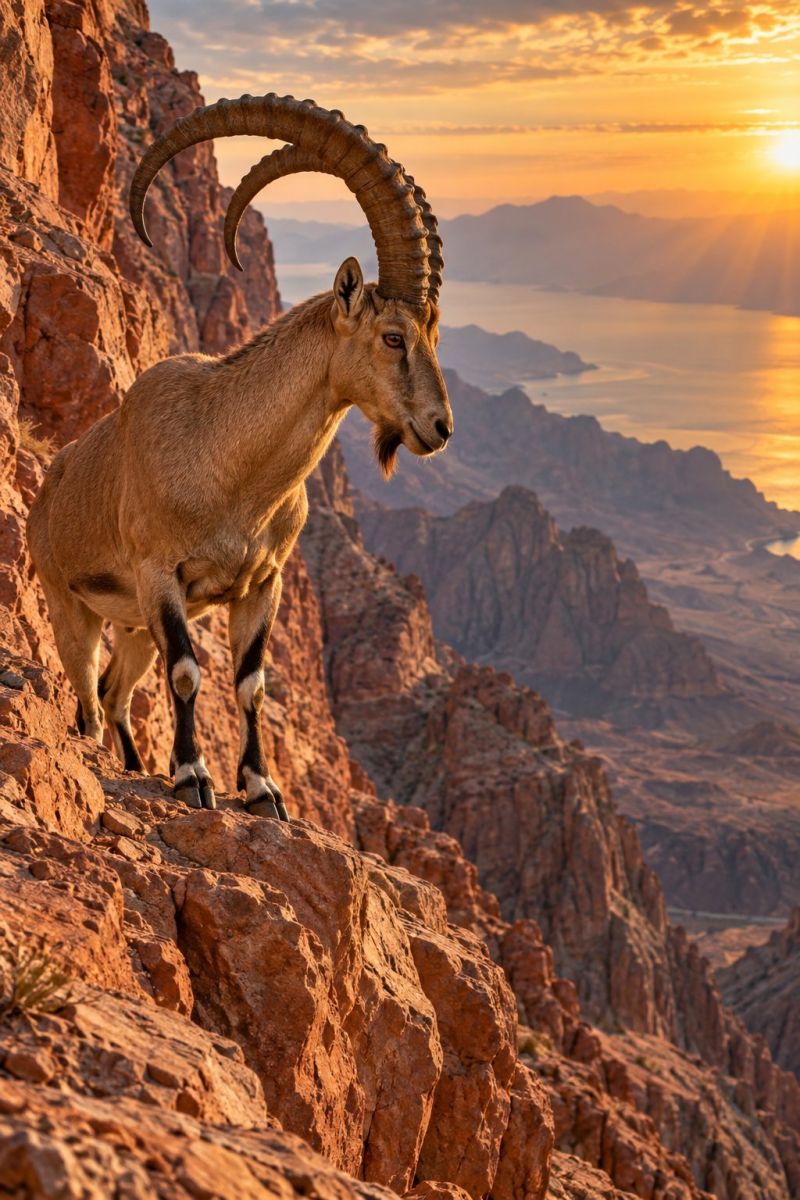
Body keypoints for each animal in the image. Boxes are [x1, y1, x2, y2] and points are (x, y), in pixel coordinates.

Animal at [27, 94, 452, 820]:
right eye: (393, 336)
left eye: (432, 332)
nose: (440, 427)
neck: (233, 471)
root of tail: (47, 488)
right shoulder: (160, 576)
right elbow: (188, 673)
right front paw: (193, 776)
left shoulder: (262, 584)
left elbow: (250, 684)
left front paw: (261, 789)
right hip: (70, 605)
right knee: (87, 699)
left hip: (132, 628)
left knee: (116, 692)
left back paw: (136, 765)